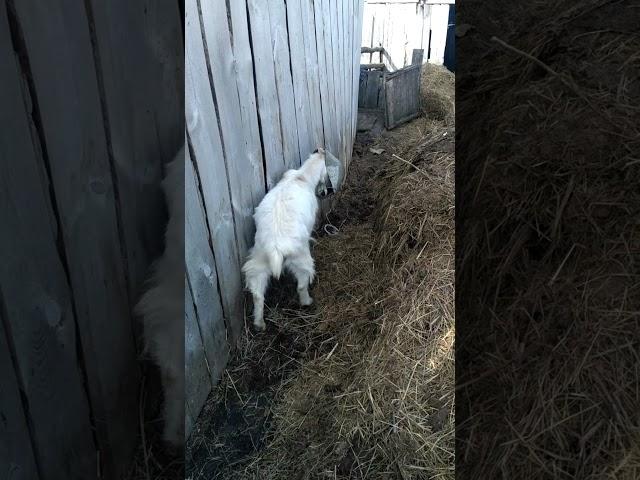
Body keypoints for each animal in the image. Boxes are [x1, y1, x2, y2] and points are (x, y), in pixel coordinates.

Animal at [241, 148, 330, 332]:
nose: (324, 192)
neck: (301, 176)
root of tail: (275, 249)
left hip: (257, 263)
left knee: (257, 294)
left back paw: (259, 324)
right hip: (301, 260)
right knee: (302, 284)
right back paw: (307, 302)